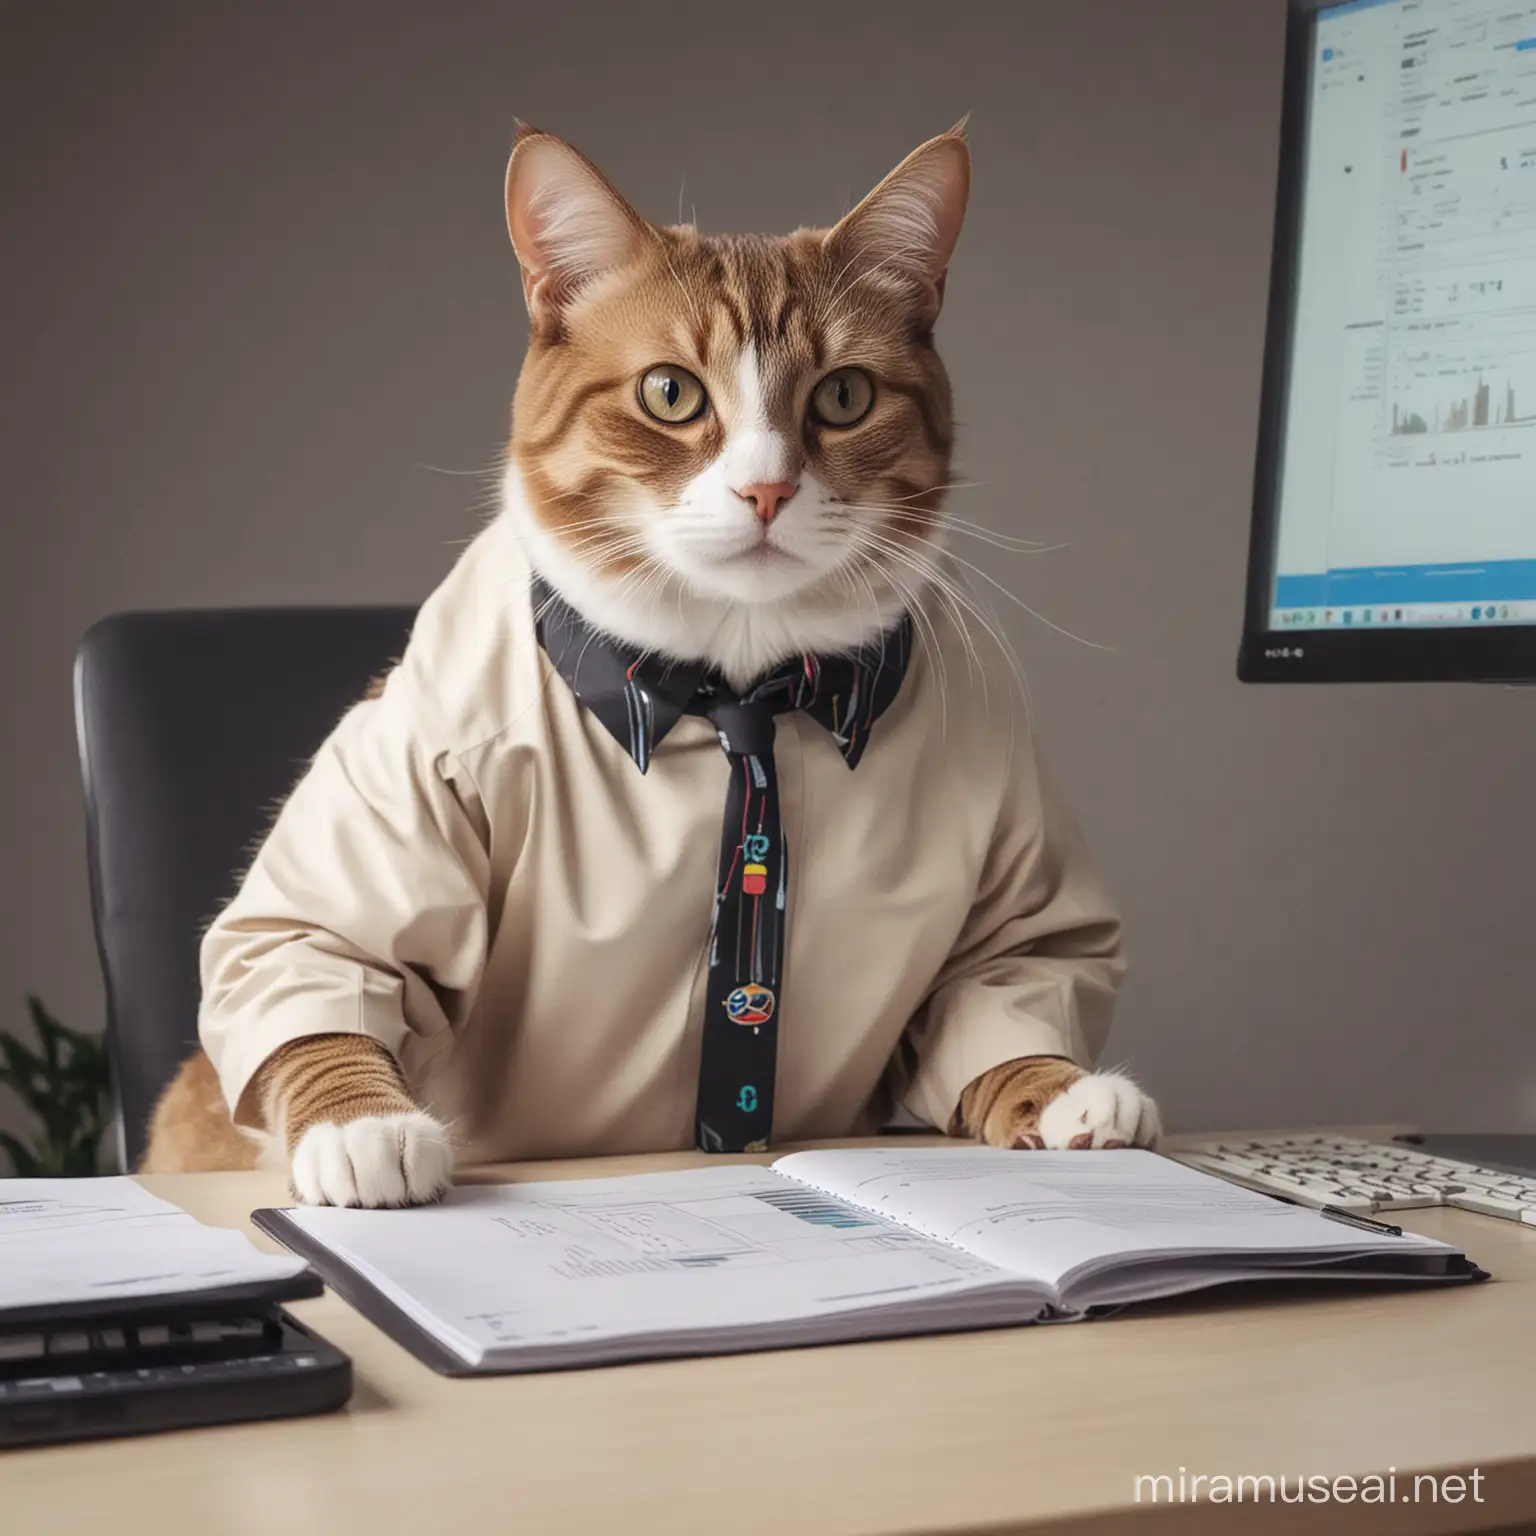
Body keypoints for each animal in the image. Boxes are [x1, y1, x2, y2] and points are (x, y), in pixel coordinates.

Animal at [144, 122, 1155, 1198]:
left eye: (844, 395)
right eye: (670, 393)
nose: (765, 490)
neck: (740, 695)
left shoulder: (1007, 815)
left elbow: (1017, 967)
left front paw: (1058, 1090)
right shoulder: (403, 791)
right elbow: (315, 955)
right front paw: (362, 1125)